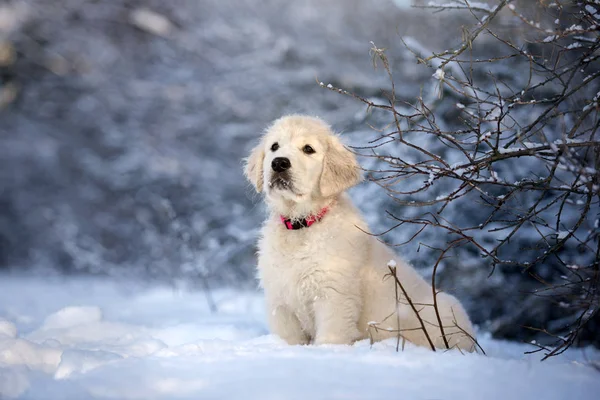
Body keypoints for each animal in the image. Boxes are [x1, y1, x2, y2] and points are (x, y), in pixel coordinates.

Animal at [243, 115, 474, 350]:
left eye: (308, 149)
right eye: (274, 147)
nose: (279, 163)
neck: (302, 223)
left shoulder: (333, 296)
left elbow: (330, 337)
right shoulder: (280, 301)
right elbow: (289, 338)